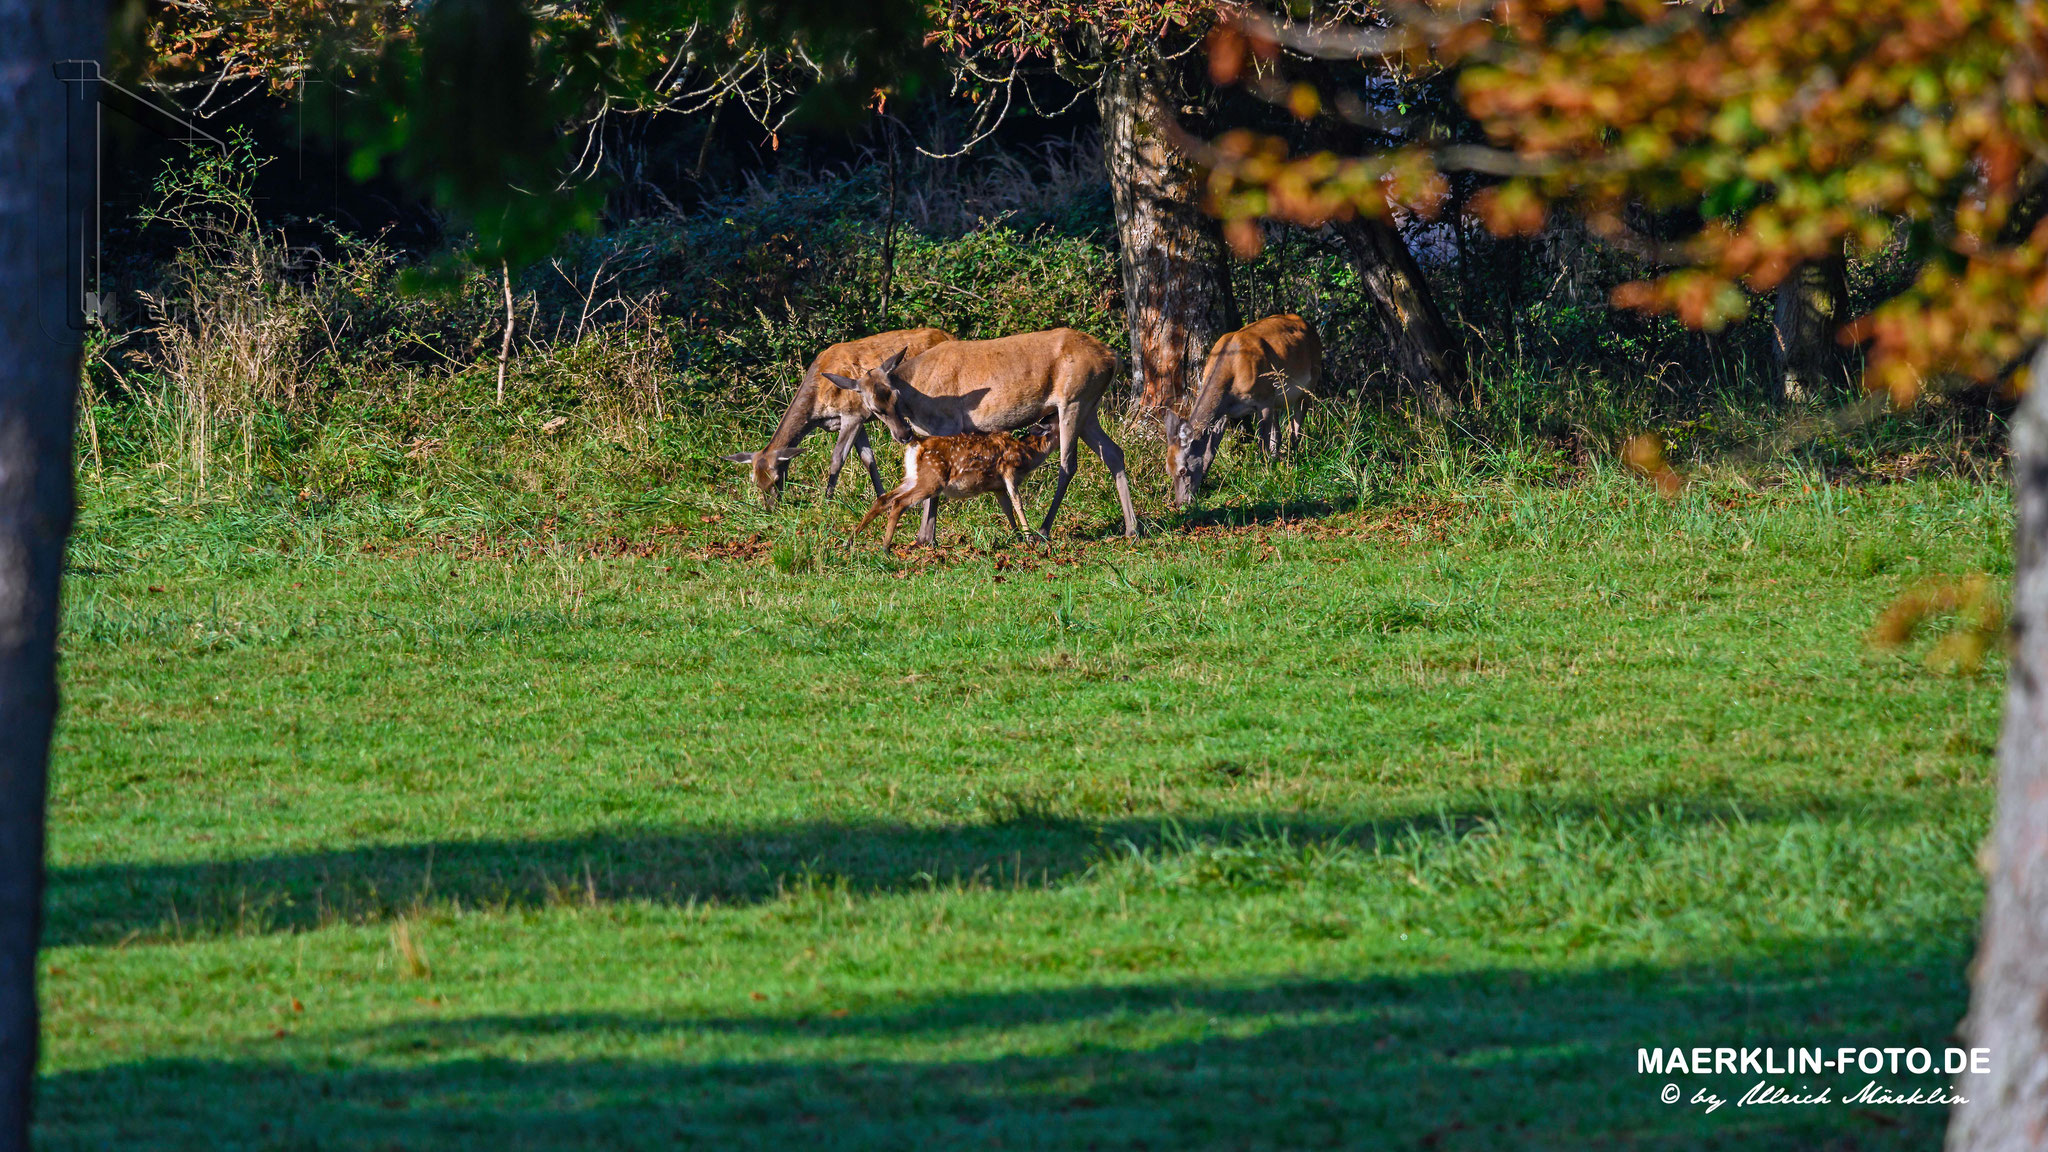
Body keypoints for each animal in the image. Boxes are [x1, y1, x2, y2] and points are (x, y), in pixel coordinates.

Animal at [724, 319, 954, 504]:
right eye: (755, 481)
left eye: (777, 478)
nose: (771, 508)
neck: (818, 408)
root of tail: (949, 335)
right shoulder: (859, 418)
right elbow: (868, 459)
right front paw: (880, 496)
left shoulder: (852, 415)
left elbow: (837, 459)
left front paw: (827, 501)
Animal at [847, 422, 1056, 545]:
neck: (1027, 454)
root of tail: (917, 444)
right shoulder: (1009, 471)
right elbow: (1018, 504)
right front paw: (1029, 539)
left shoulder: (997, 486)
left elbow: (1007, 509)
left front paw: (1017, 537)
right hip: (932, 480)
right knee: (899, 502)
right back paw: (885, 547)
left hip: (913, 478)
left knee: (883, 499)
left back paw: (850, 541)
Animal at [1171, 311, 1327, 504]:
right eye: (1168, 470)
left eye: (1183, 470)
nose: (1180, 503)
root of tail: (1311, 329)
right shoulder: (1226, 411)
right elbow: (1210, 449)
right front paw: (1204, 481)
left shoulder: (1264, 398)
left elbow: (1262, 442)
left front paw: (1264, 474)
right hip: (1278, 399)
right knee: (1279, 432)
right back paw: (1279, 459)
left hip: (1309, 385)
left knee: (1295, 429)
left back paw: (1293, 460)